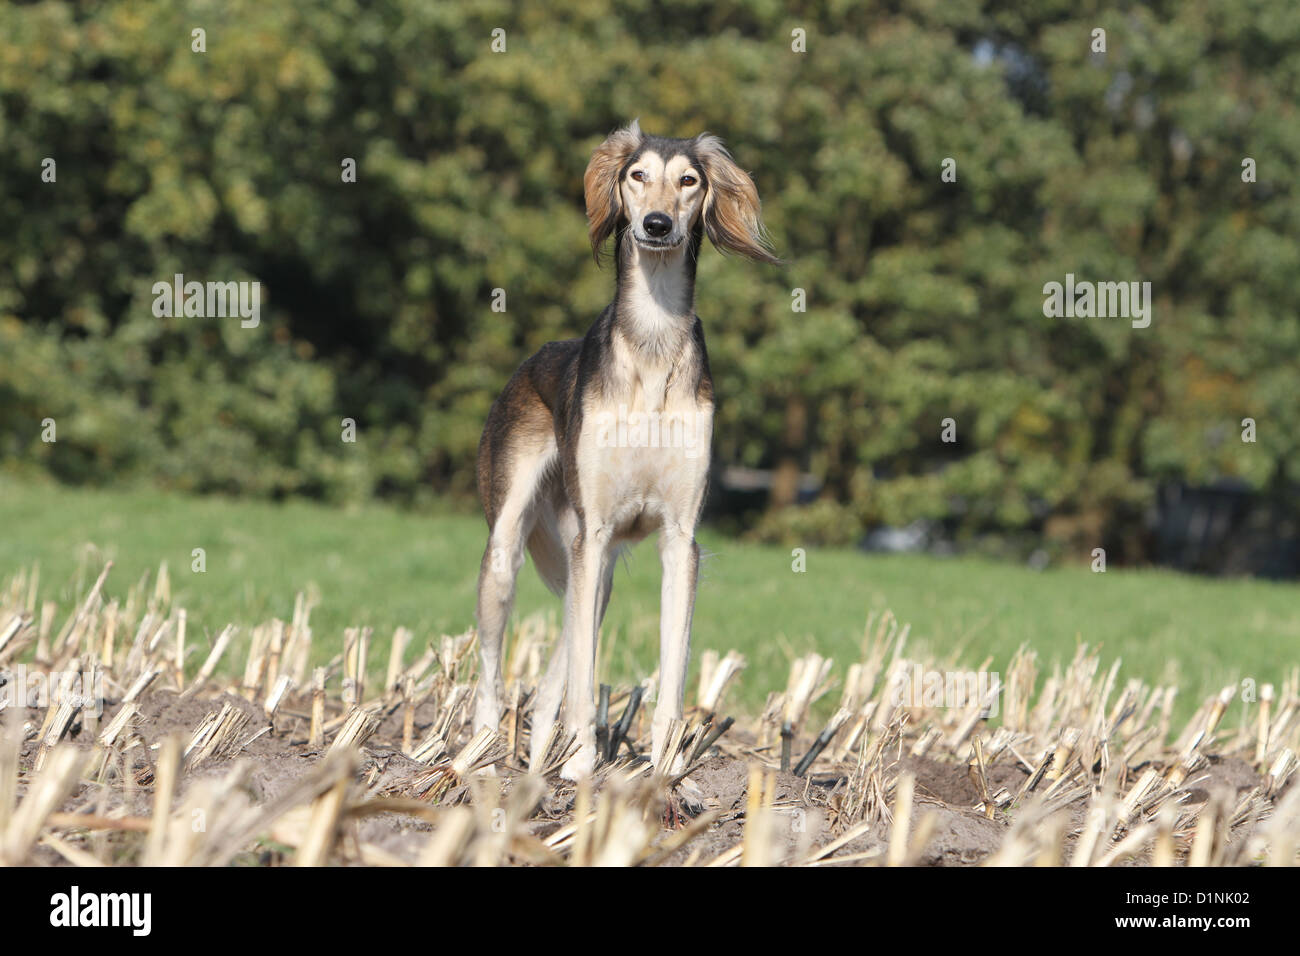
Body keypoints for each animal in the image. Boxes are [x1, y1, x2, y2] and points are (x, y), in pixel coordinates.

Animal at [478, 121, 780, 780]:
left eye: (689, 181)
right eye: (637, 175)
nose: (658, 225)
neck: (652, 344)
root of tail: (529, 360)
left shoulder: (678, 539)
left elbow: (673, 668)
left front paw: (664, 770)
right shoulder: (592, 535)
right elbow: (585, 675)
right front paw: (581, 771)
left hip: (598, 569)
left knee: (552, 679)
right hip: (510, 543)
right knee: (491, 666)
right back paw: (477, 756)